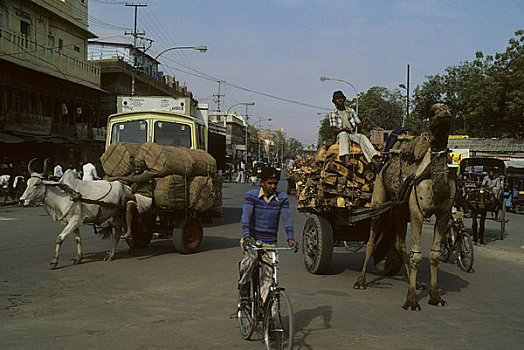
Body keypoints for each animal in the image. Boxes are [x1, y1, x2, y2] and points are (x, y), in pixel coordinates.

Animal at [354, 102, 456, 310]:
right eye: (432, 110)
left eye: (451, 109)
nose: (445, 114)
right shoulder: (417, 212)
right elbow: (416, 256)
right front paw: (411, 301)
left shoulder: (444, 214)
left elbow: (434, 255)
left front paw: (436, 297)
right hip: (379, 193)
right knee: (371, 239)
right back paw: (361, 281)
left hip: (400, 210)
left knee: (399, 243)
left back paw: (416, 283)